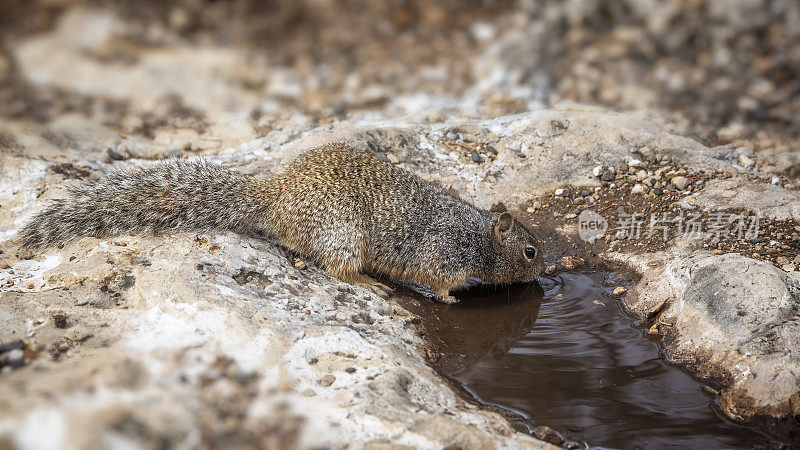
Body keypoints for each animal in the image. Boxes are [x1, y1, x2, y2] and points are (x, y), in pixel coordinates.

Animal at [17, 144, 544, 304]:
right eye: (531, 251)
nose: (546, 273)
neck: (477, 235)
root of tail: (277, 198)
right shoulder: (443, 254)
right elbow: (439, 282)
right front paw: (453, 298)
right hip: (343, 235)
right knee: (336, 268)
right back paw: (370, 284)